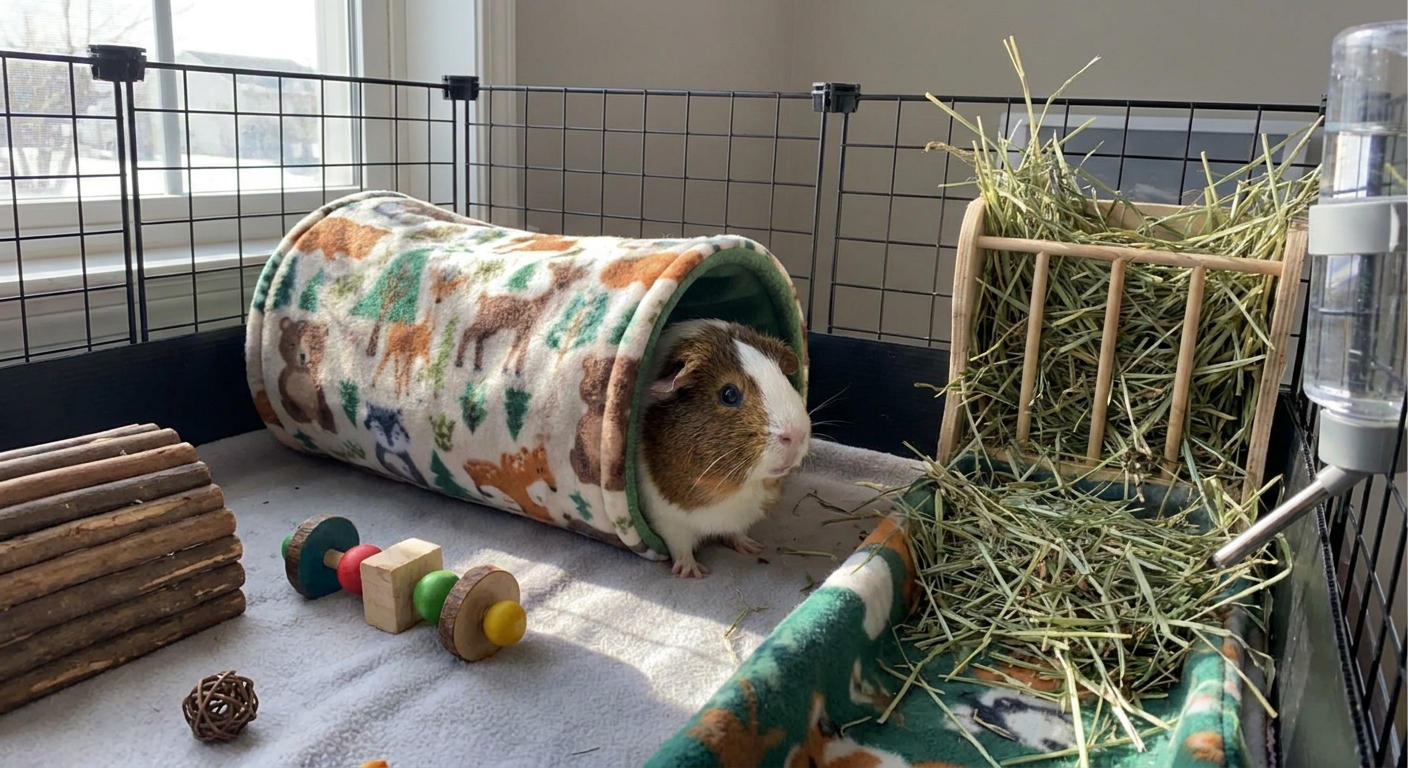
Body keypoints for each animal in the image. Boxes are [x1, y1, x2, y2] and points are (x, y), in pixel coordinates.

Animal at [635, 318, 811, 578]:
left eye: (783, 377)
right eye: (729, 394)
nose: (796, 435)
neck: (733, 490)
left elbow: (734, 532)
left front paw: (750, 547)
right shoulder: (667, 518)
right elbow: (680, 546)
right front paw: (692, 572)